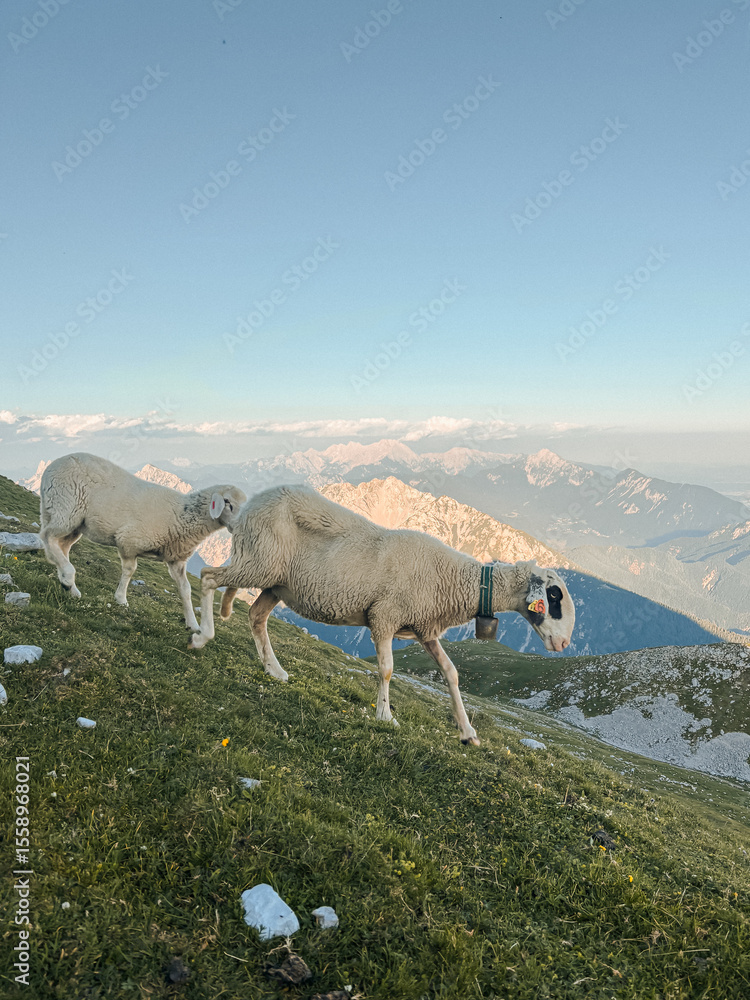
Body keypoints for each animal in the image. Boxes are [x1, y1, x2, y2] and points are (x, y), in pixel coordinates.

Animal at [39, 453, 246, 631]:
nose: (240, 526)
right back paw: (67, 577)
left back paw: (69, 586)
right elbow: (130, 571)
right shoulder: (129, 541)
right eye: (227, 502)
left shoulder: (176, 559)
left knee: (61, 546)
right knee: (46, 536)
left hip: (75, 523)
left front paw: (193, 625)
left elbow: (185, 590)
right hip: (65, 509)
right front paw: (121, 599)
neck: (183, 514)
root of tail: (52, 466)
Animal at [189, 484, 575, 745]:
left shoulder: (423, 628)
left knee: (256, 616)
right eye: (554, 596)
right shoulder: (385, 617)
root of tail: (246, 509)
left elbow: (451, 674)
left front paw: (468, 732)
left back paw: (275, 670)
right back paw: (202, 635)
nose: (563, 644)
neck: (455, 579)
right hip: (258, 563)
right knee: (207, 577)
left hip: (275, 582)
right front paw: (385, 716)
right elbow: (387, 669)